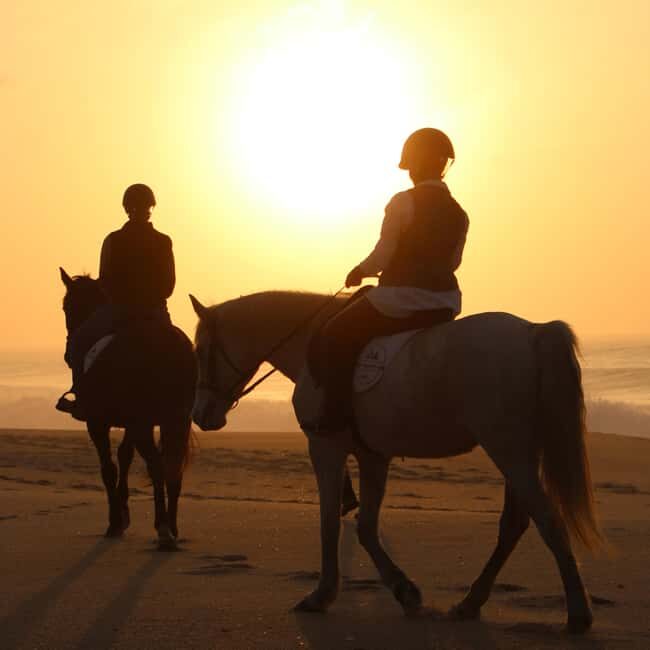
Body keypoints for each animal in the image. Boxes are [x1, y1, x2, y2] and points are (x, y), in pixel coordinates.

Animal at [59, 268, 196, 549]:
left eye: (67, 307)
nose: (68, 354)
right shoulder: (132, 423)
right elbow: (125, 456)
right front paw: (123, 513)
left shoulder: (97, 422)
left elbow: (109, 468)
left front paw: (115, 522)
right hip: (176, 419)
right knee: (172, 468)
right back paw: (173, 527)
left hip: (144, 422)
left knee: (157, 466)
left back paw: (163, 528)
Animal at [189, 290, 603, 633]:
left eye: (200, 352)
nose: (200, 414)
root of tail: (533, 332)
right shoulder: (372, 456)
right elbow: (366, 526)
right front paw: (405, 591)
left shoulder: (325, 448)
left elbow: (329, 523)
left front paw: (322, 595)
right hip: (518, 451)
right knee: (516, 524)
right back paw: (471, 603)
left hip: (508, 449)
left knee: (548, 520)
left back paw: (578, 614)